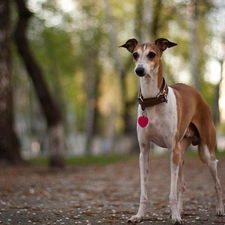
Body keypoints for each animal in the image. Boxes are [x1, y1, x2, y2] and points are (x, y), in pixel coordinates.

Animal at [119, 37, 223, 224]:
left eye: (152, 54)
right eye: (135, 55)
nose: (139, 70)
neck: (153, 100)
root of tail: (197, 94)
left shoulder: (171, 151)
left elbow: (172, 192)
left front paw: (175, 216)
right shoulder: (144, 152)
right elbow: (144, 191)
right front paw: (139, 215)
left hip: (207, 153)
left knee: (217, 183)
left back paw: (219, 209)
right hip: (180, 153)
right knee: (182, 185)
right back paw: (181, 210)